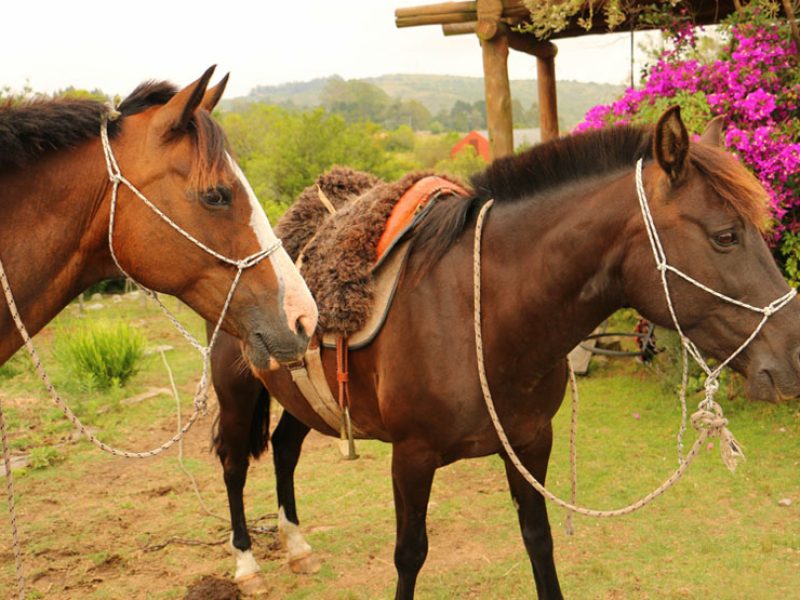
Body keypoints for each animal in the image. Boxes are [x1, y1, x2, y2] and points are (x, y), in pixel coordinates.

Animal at [211, 109, 800, 600]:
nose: (793, 357)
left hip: (305, 399)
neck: (482, 311)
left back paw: (297, 548)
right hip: (236, 391)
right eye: (725, 236)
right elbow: (410, 555)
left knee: (285, 449)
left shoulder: (530, 443)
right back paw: (248, 565)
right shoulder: (412, 456)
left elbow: (538, 539)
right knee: (234, 465)